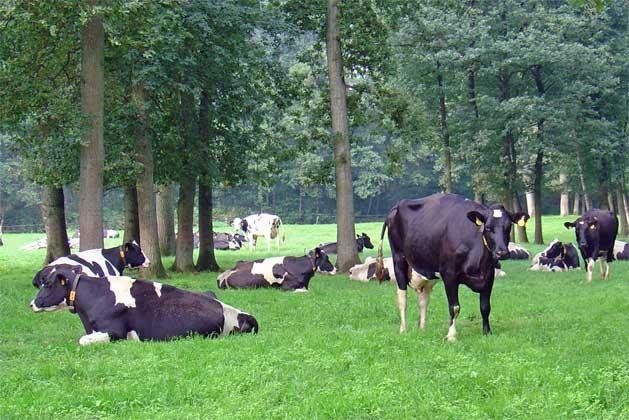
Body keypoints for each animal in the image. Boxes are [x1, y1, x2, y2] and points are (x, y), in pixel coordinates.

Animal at [376, 194, 528, 342]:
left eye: (508, 227)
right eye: (488, 228)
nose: (502, 252)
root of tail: (399, 204)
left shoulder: (489, 276)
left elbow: (485, 307)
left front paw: (487, 332)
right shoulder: (449, 275)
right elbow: (454, 307)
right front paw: (451, 336)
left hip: (427, 271)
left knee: (423, 301)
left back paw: (423, 329)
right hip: (399, 259)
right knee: (402, 298)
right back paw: (403, 330)